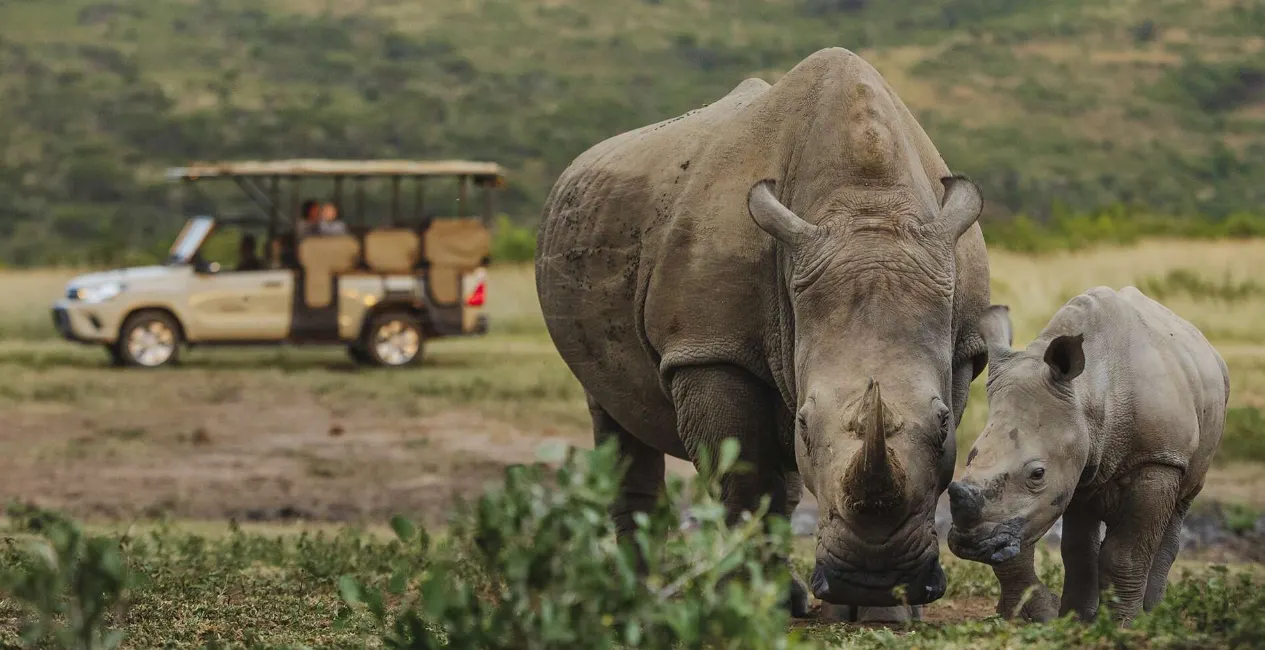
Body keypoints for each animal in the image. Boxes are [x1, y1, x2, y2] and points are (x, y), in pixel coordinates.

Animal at [535, 47, 991, 620]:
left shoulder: (961, 346)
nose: (873, 578)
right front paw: (749, 606)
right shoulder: (709, 350)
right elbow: (744, 481)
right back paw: (636, 599)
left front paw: (885, 614)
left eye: (944, 421)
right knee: (612, 411)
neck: (868, 207)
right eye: (805, 424)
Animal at [947, 287, 1230, 625]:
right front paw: (1075, 621)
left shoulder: (1158, 459)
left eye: (1037, 474)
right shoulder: (1078, 466)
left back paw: (1155, 613)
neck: (1090, 391)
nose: (969, 544)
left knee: (1181, 505)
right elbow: (1077, 551)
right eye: (971, 455)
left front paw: (1122, 625)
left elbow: (1126, 554)